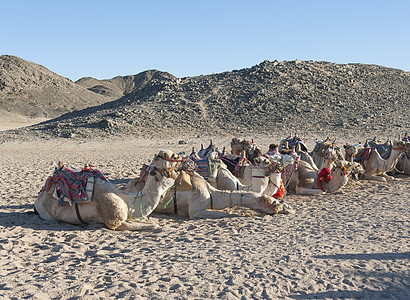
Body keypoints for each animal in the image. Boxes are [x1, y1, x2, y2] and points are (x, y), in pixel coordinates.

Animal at [34, 151, 182, 231]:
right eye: (174, 156)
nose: (183, 155)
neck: (127, 200)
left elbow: (149, 222)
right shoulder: (114, 221)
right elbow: (153, 225)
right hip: (46, 214)